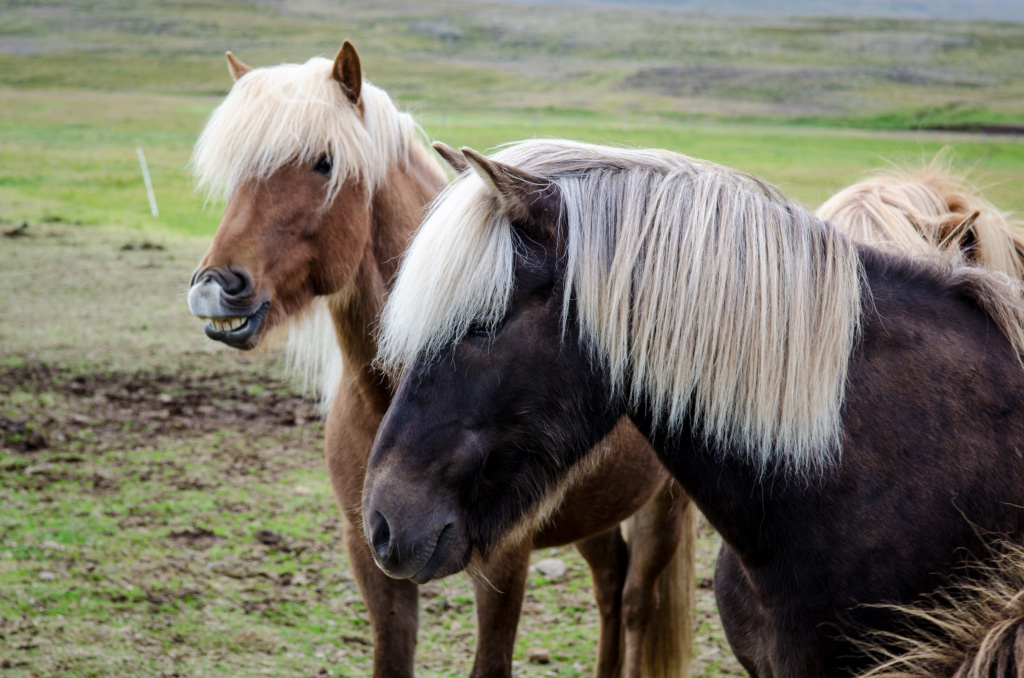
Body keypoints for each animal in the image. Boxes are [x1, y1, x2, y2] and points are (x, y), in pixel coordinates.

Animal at [185, 47, 696, 678]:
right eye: (236, 169)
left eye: (324, 164)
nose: (215, 287)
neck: (384, 396)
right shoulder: (372, 551)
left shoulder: (501, 562)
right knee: (610, 580)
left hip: (665, 511)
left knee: (636, 601)